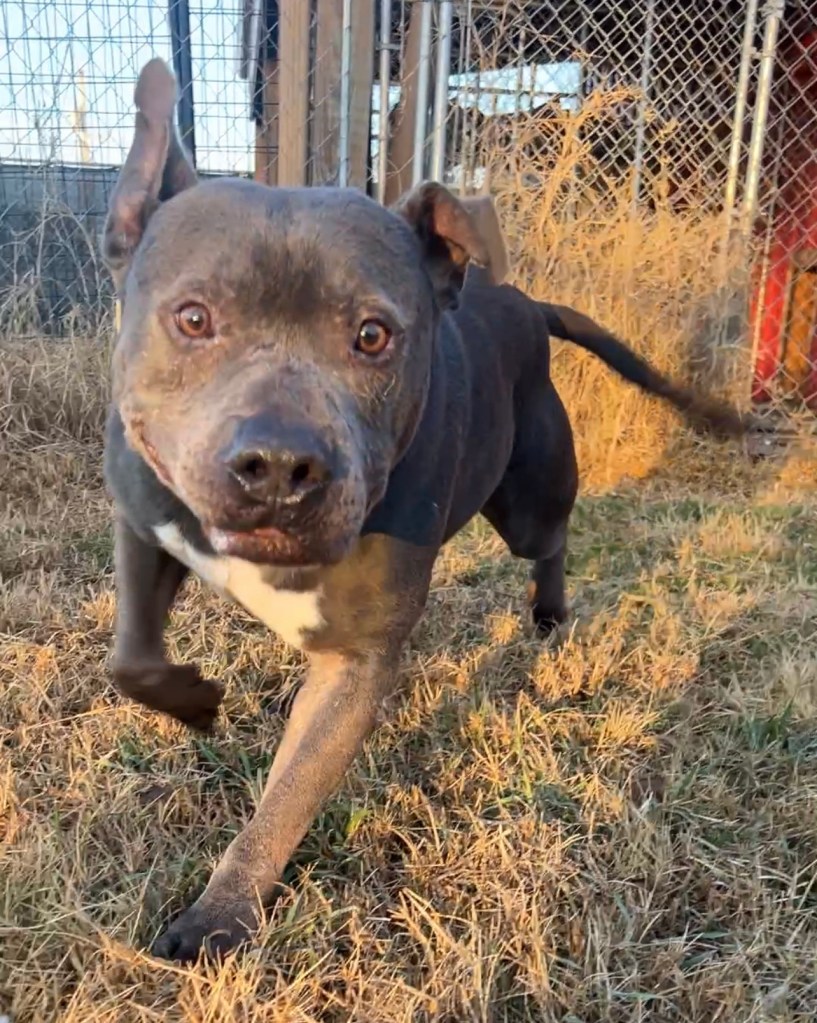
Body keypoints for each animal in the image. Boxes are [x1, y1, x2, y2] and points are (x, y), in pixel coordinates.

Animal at [101, 59, 750, 961]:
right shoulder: (144, 513)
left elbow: (286, 798)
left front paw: (220, 915)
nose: (278, 465)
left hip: (526, 500)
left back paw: (549, 613)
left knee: (550, 539)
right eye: (193, 318)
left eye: (373, 335)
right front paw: (192, 701)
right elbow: (130, 657)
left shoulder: (354, 665)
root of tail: (524, 302)